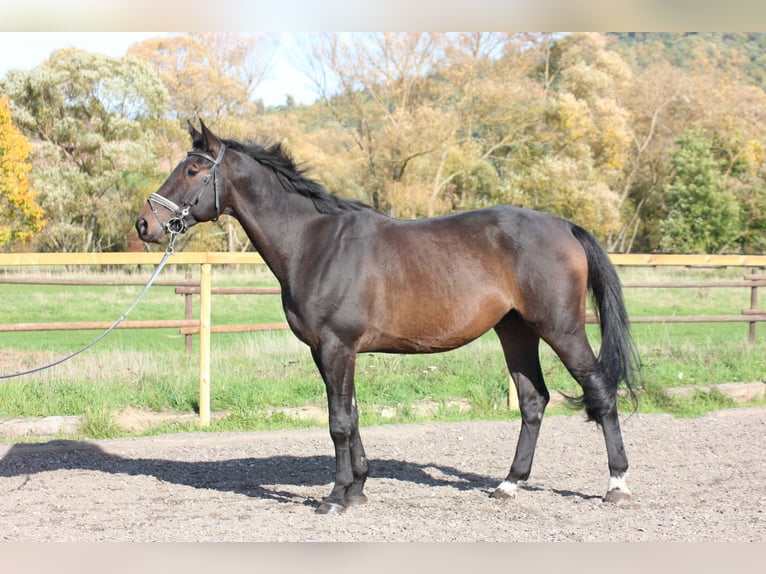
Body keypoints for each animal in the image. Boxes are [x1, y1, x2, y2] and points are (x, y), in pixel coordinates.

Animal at [136, 121, 640, 516]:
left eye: (193, 169)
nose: (146, 224)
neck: (313, 241)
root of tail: (565, 226)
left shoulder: (337, 347)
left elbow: (338, 421)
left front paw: (336, 497)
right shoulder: (329, 352)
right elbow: (352, 415)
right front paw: (357, 488)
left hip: (561, 329)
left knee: (601, 391)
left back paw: (616, 485)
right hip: (515, 331)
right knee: (533, 401)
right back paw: (508, 484)